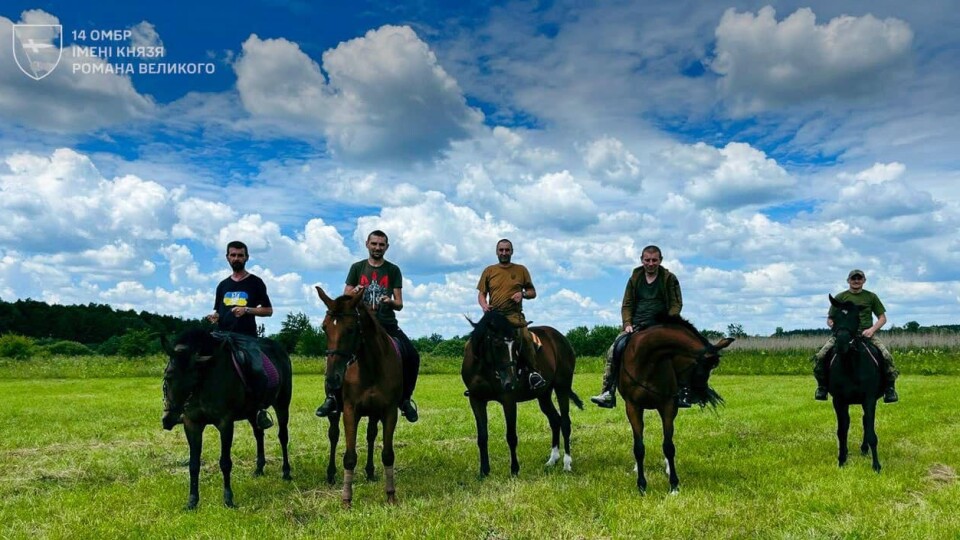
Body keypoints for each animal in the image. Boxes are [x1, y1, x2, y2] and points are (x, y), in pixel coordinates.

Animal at [161, 330, 290, 510]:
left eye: (193, 379)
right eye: (168, 376)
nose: (170, 418)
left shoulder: (225, 423)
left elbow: (225, 462)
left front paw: (228, 499)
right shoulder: (192, 424)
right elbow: (193, 464)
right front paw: (192, 501)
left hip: (282, 404)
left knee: (283, 437)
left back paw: (286, 472)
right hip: (252, 412)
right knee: (259, 435)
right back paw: (259, 469)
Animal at [316, 284, 404, 508]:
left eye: (350, 329)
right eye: (324, 328)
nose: (332, 379)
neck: (371, 366)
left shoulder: (389, 411)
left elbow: (387, 454)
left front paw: (390, 495)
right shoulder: (350, 411)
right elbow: (349, 456)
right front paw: (346, 500)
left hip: (373, 412)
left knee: (371, 435)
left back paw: (370, 472)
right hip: (335, 412)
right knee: (333, 435)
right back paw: (330, 474)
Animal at [460, 310, 580, 478]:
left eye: (517, 345)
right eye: (496, 343)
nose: (510, 381)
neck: (484, 368)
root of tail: (561, 338)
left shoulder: (508, 400)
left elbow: (511, 436)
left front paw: (514, 470)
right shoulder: (476, 400)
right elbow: (482, 437)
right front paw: (484, 471)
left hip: (562, 387)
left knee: (565, 422)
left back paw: (567, 464)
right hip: (544, 395)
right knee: (555, 420)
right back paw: (552, 459)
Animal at [616, 314, 736, 496]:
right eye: (704, 367)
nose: (701, 396)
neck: (647, 361)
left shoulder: (668, 407)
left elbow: (668, 446)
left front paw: (673, 485)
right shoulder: (633, 407)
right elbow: (639, 447)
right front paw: (642, 486)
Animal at [824, 296, 884, 472]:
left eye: (856, 318)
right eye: (833, 317)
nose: (842, 344)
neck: (850, 365)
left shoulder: (869, 400)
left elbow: (871, 433)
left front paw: (876, 466)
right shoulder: (839, 401)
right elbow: (841, 431)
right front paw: (841, 460)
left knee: (865, 422)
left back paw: (864, 449)